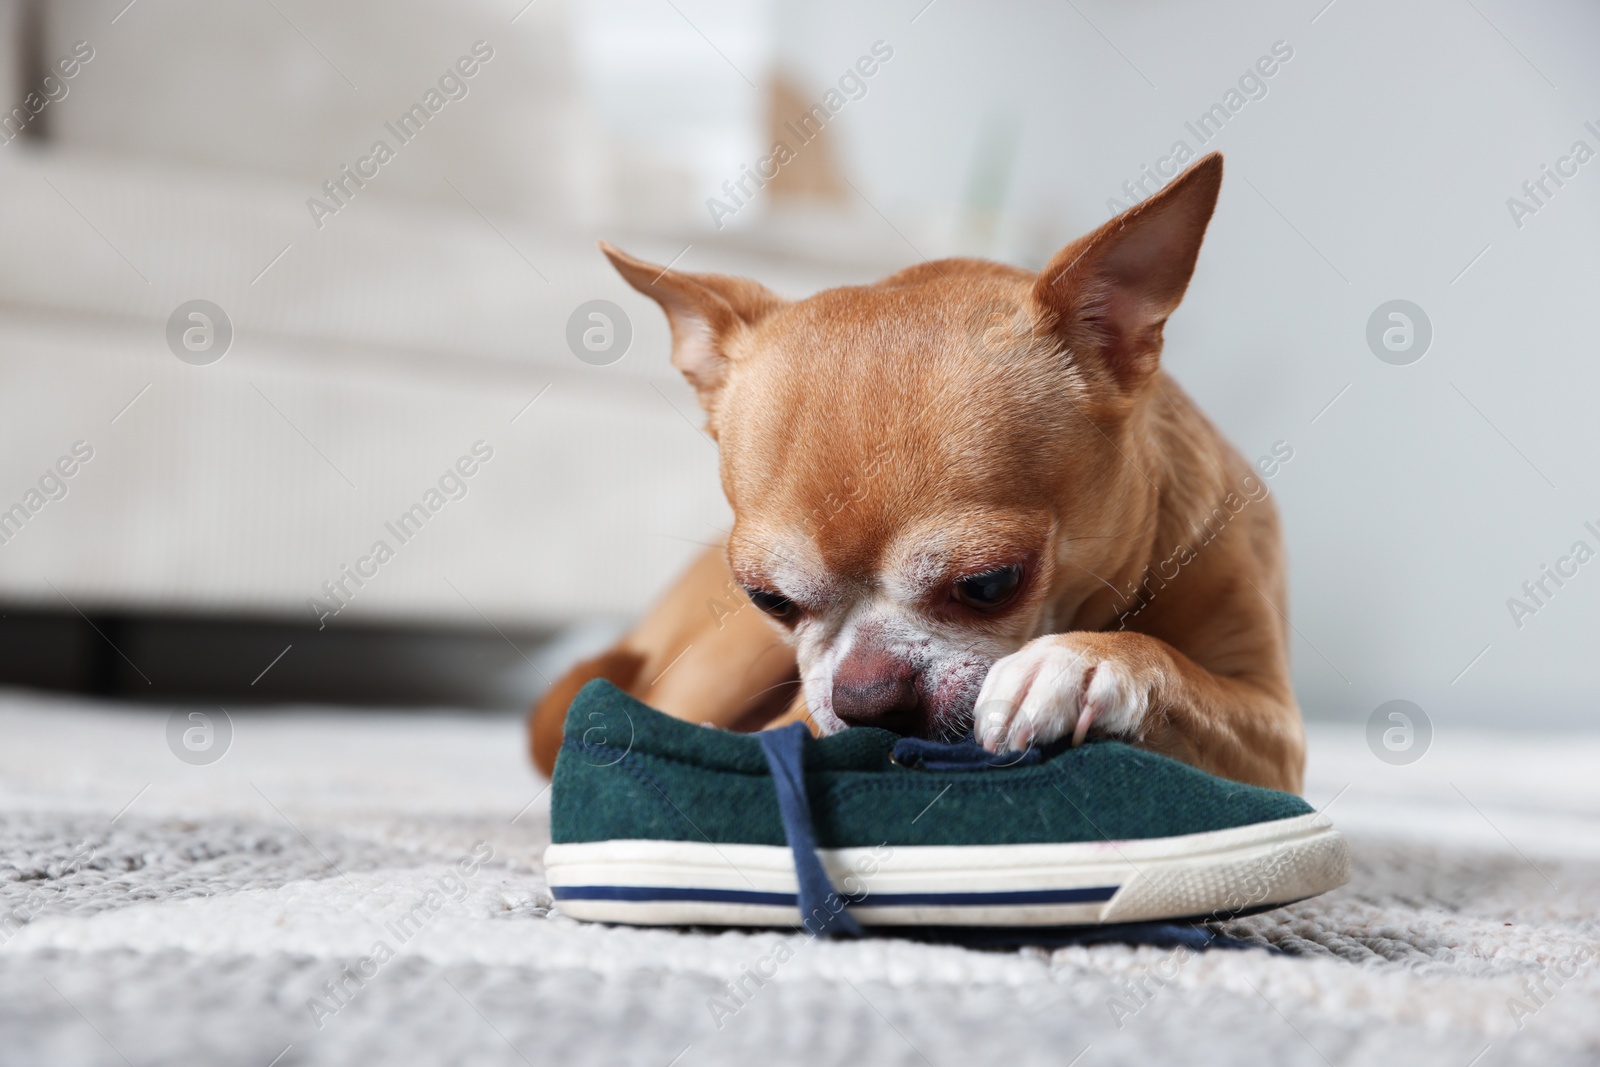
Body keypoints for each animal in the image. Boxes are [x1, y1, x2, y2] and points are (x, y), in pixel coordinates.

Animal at [531, 154, 1305, 796]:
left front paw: (1084, 662)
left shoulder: (1278, 730)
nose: (869, 699)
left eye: (990, 584)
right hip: (723, 660)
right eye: (769, 600)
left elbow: (1175, 668)